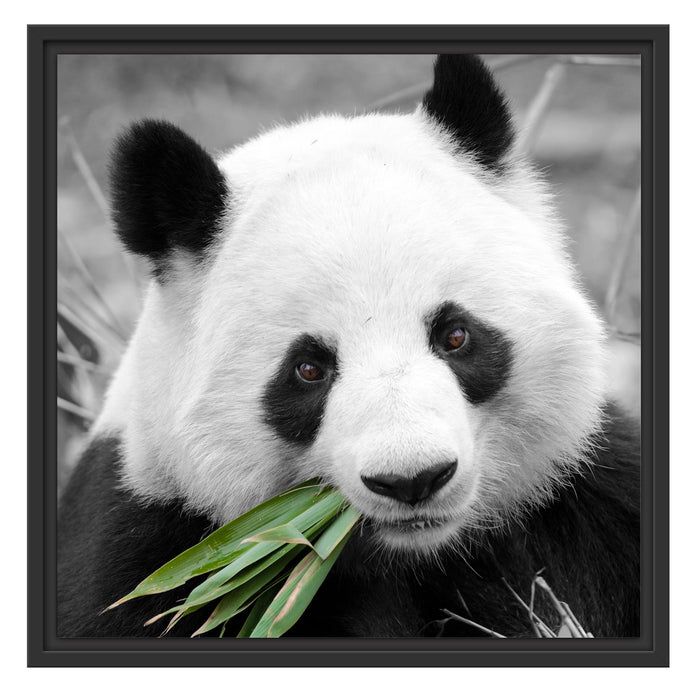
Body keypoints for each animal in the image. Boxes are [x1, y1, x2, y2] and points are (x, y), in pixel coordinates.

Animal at [57, 54, 640, 638]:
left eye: (455, 335)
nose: (412, 480)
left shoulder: (584, 503)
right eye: (309, 368)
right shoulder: (156, 548)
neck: (416, 554)